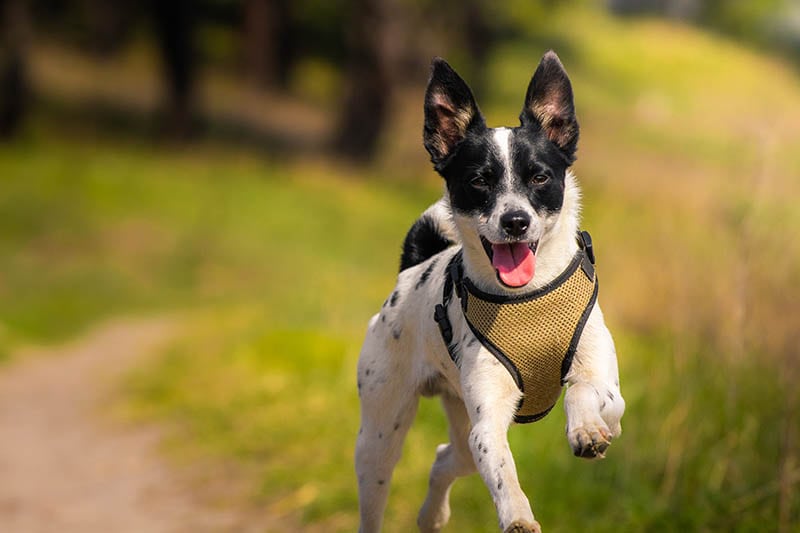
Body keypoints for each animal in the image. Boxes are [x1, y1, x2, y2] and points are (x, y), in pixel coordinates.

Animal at [356, 51, 624, 532]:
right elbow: (502, 471)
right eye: (479, 181)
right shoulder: (487, 422)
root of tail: (411, 269)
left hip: (456, 425)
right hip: (381, 438)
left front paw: (586, 430)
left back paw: (432, 514)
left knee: (445, 457)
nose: (515, 220)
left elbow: (584, 391)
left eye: (540, 178)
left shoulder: (612, 395)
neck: (527, 299)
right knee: (388, 483)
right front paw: (517, 515)